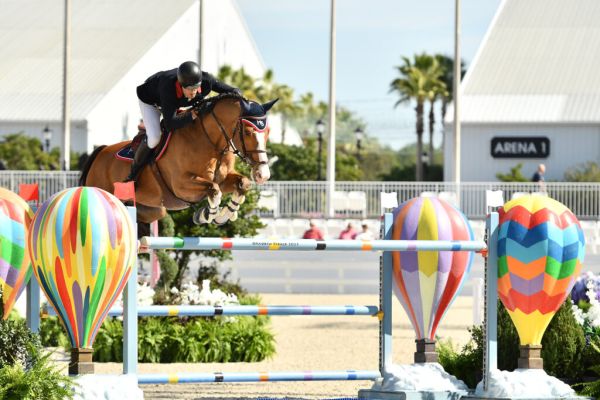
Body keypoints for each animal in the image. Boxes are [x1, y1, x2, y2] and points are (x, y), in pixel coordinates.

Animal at [78, 92, 278, 227]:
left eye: (268, 132)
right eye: (248, 132)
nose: (263, 175)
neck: (211, 142)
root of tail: (101, 151)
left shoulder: (223, 178)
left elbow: (242, 183)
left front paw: (223, 216)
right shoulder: (182, 185)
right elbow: (214, 190)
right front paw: (206, 214)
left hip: (154, 208)